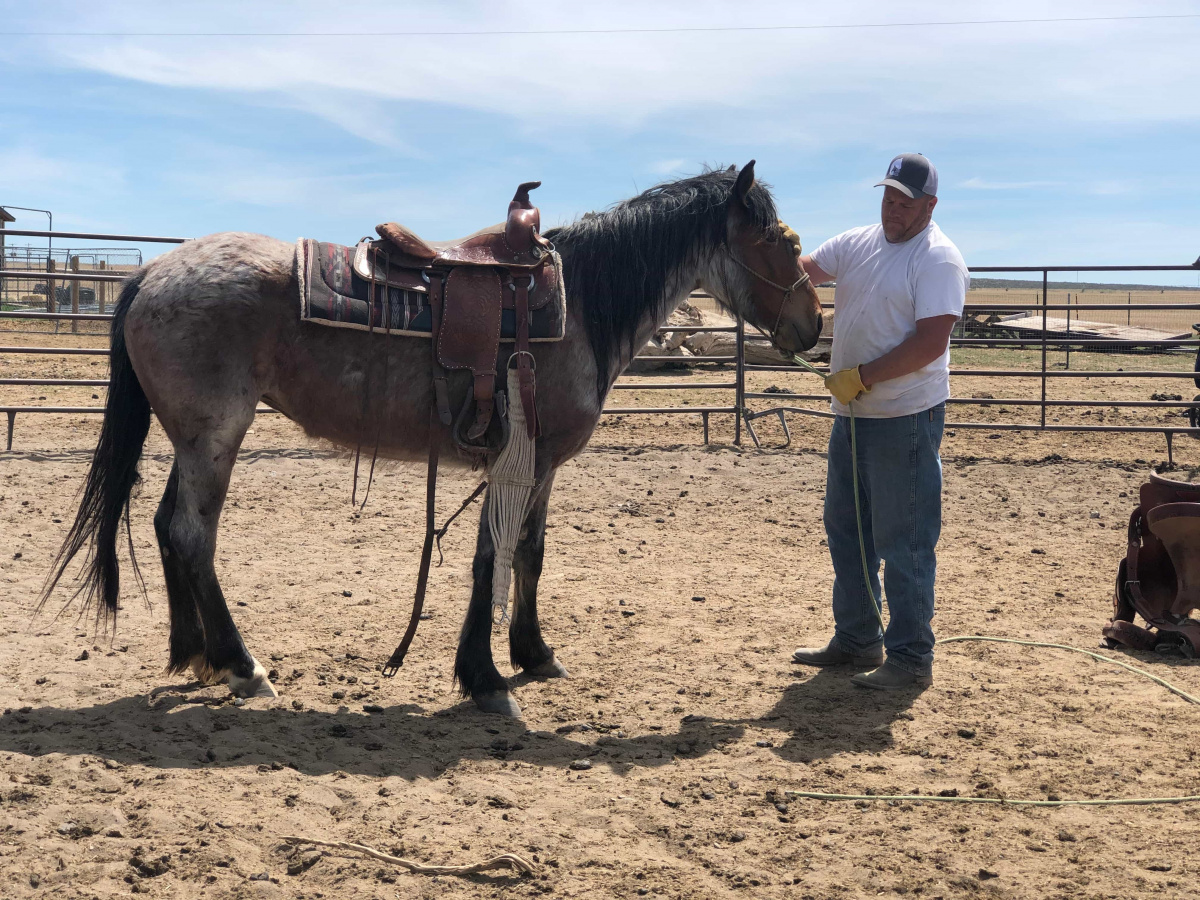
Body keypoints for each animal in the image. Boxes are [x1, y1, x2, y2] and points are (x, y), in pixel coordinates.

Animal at [42, 158, 820, 715]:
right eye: (779, 242)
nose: (811, 326)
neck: (580, 307)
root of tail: (149, 272)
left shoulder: (542, 466)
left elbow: (529, 554)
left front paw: (533, 654)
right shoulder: (518, 460)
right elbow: (491, 558)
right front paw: (486, 678)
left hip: (191, 437)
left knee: (164, 524)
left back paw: (195, 654)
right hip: (214, 436)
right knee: (192, 534)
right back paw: (242, 664)